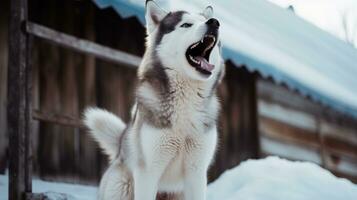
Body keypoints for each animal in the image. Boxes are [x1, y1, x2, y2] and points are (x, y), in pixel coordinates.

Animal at [83, 0, 222, 199]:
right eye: (186, 25)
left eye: (205, 19)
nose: (214, 22)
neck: (185, 103)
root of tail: (119, 151)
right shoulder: (148, 172)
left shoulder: (196, 173)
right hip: (121, 185)